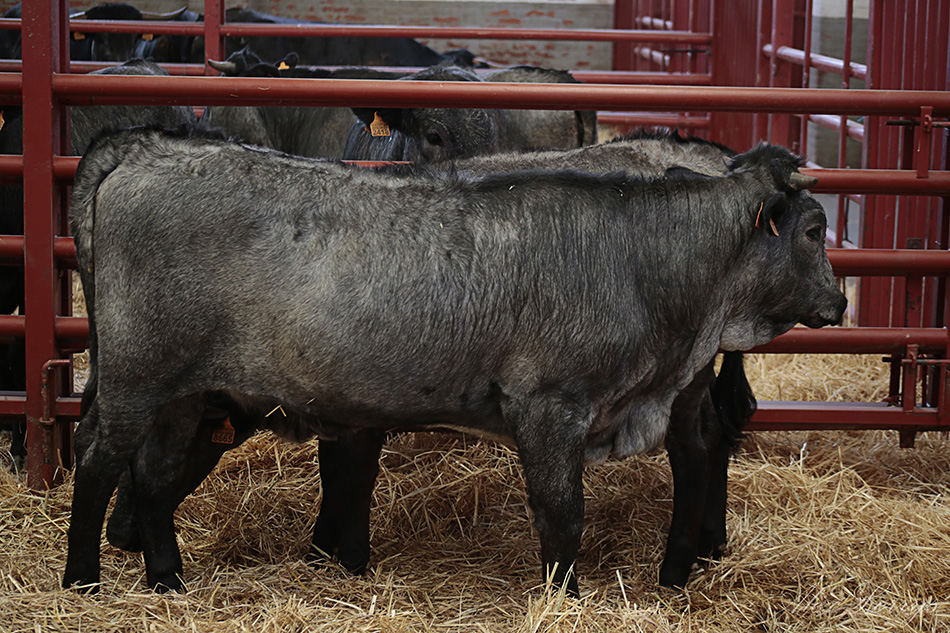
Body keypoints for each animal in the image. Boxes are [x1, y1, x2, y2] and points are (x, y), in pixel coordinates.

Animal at [62, 126, 845, 595]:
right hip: (138, 376)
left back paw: (163, 576)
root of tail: (145, 150)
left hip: (182, 395)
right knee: (98, 459)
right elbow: (561, 515)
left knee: (150, 473)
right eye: (814, 230)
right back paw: (83, 577)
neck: (641, 255)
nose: (840, 300)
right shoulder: (549, 405)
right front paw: (564, 597)